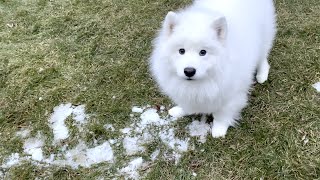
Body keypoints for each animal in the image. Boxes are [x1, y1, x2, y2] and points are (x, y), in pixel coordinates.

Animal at [149, 0, 276, 138]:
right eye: (181, 51)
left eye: (203, 52)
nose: (189, 71)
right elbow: (187, 104)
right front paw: (180, 111)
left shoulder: (230, 96)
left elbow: (222, 114)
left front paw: (219, 130)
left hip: (264, 38)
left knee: (263, 58)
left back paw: (262, 75)